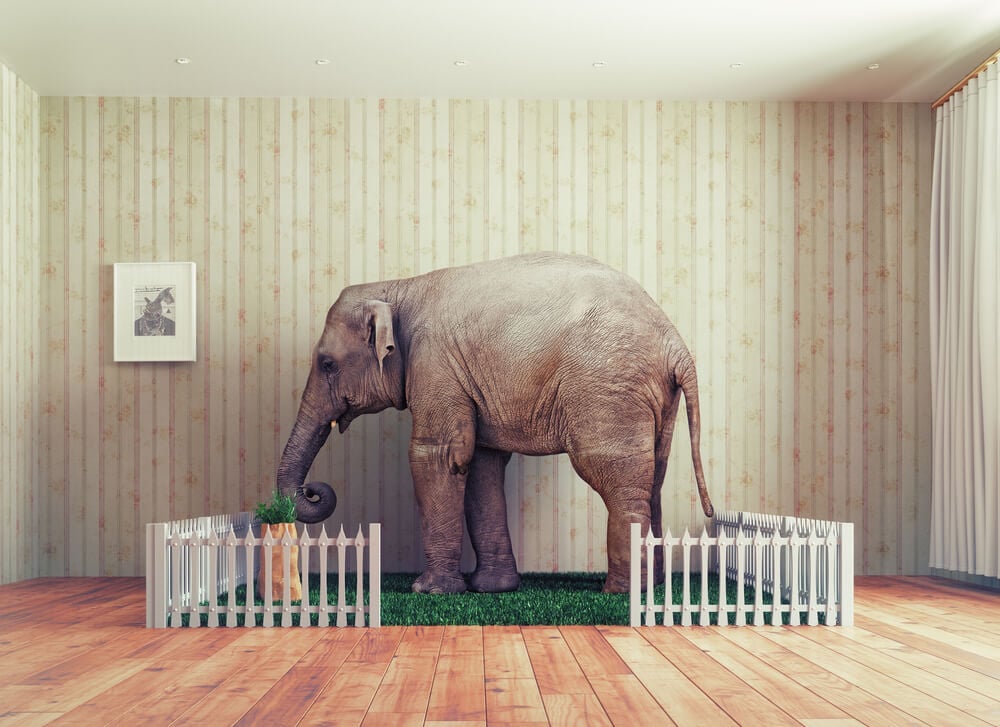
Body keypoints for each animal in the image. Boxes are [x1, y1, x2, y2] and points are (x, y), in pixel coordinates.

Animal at [274, 253, 712, 596]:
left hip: (607, 389)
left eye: (326, 364)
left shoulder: (435, 364)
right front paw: (491, 588)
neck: (398, 287)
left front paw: (429, 591)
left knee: (615, 479)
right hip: (655, 399)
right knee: (653, 477)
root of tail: (676, 343)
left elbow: (437, 456)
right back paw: (652, 587)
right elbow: (481, 464)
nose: (314, 490)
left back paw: (620, 593)